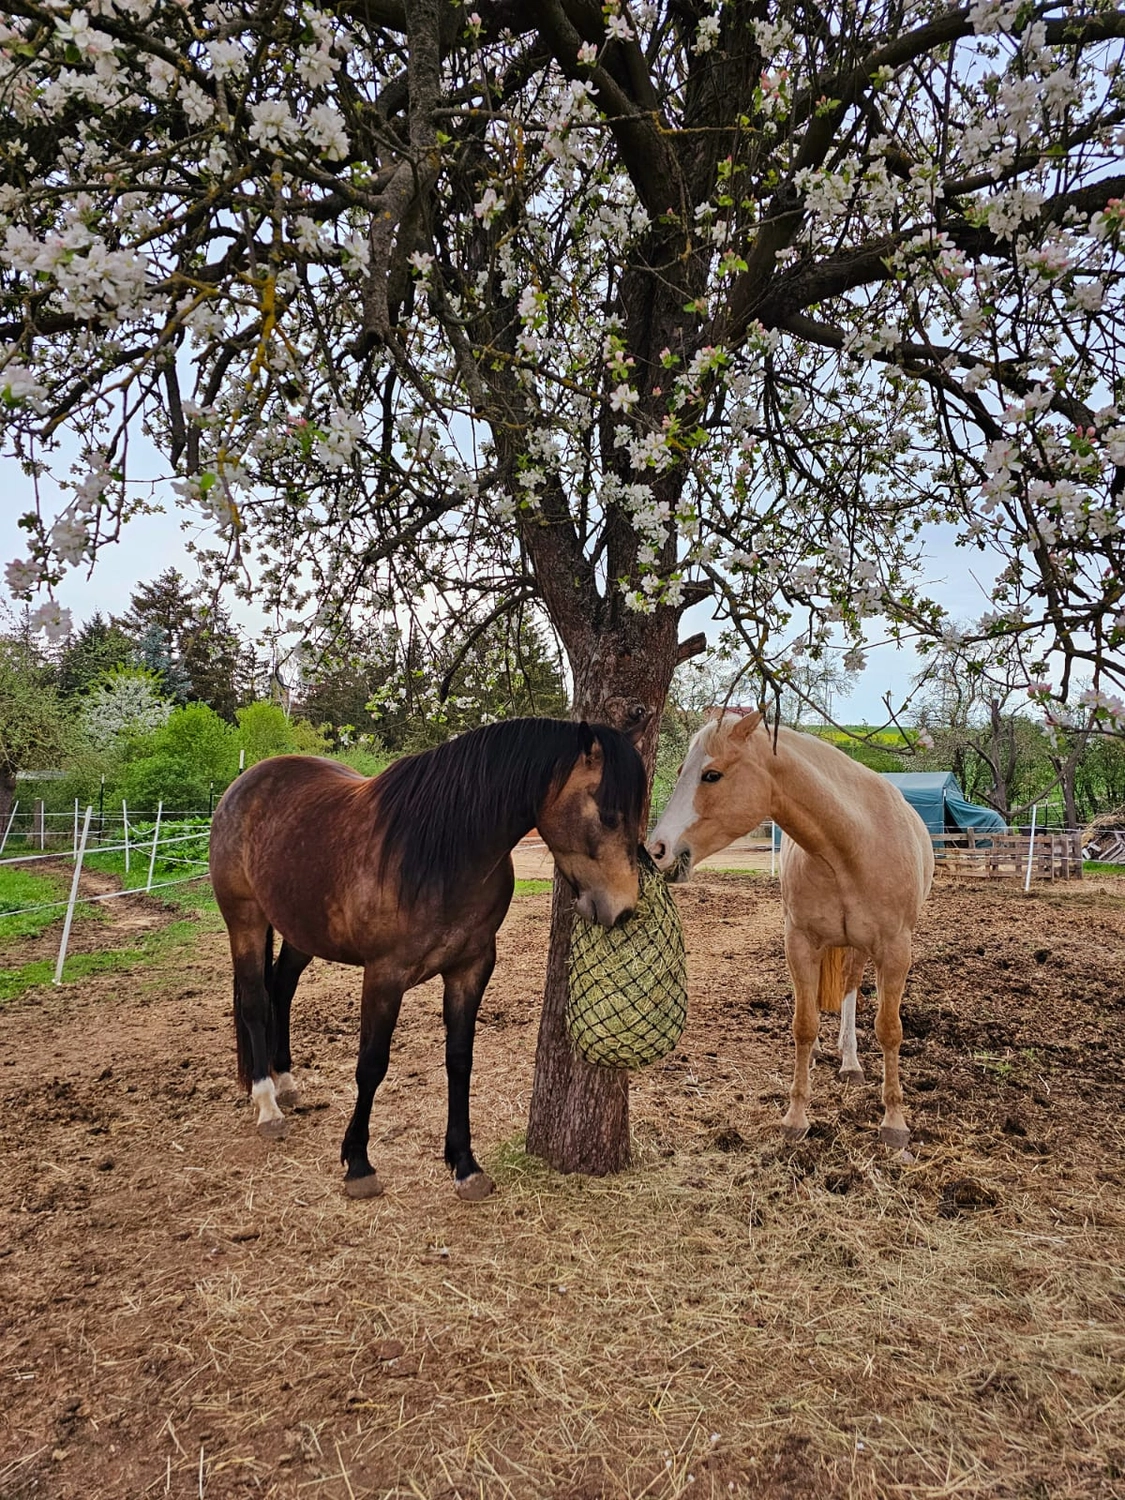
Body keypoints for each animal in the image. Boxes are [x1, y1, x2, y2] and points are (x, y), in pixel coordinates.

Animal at [209, 717, 647, 1200]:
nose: (623, 909)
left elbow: (459, 1060)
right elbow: (371, 1065)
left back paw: (285, 1081)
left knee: (282, 989)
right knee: (254, 1001)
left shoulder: (470, 970)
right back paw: (267, 1104)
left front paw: (464, 1164)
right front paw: (358, 1164)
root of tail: (245, 783)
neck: (442, 853)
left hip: (301, 929)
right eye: (608, 814)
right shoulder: (384, 976)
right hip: (245, 920)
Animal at [647, 711, 933, 1150]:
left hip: (861, 949)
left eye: (711, 775)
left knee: (850, 988)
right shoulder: (799, 943)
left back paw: (850, 1062)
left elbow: (889, 1030)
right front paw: (796, 1117)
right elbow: (803, 1024)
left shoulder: (895, 950)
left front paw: (894, 1123)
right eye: (682, 772)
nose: (657, 850)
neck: (852, 844)